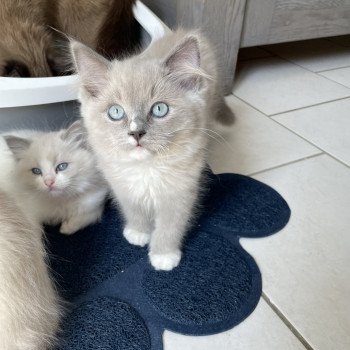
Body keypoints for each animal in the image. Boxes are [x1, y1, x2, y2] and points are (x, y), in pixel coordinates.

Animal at [70, 30, 234, 270]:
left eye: (159, 109)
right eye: (116, 112)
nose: (136, 133)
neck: (146, 167)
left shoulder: (179, 193)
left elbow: (169, 227)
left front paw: (163, 255)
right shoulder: (122, 186)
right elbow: (134, 210)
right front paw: (138, 233)